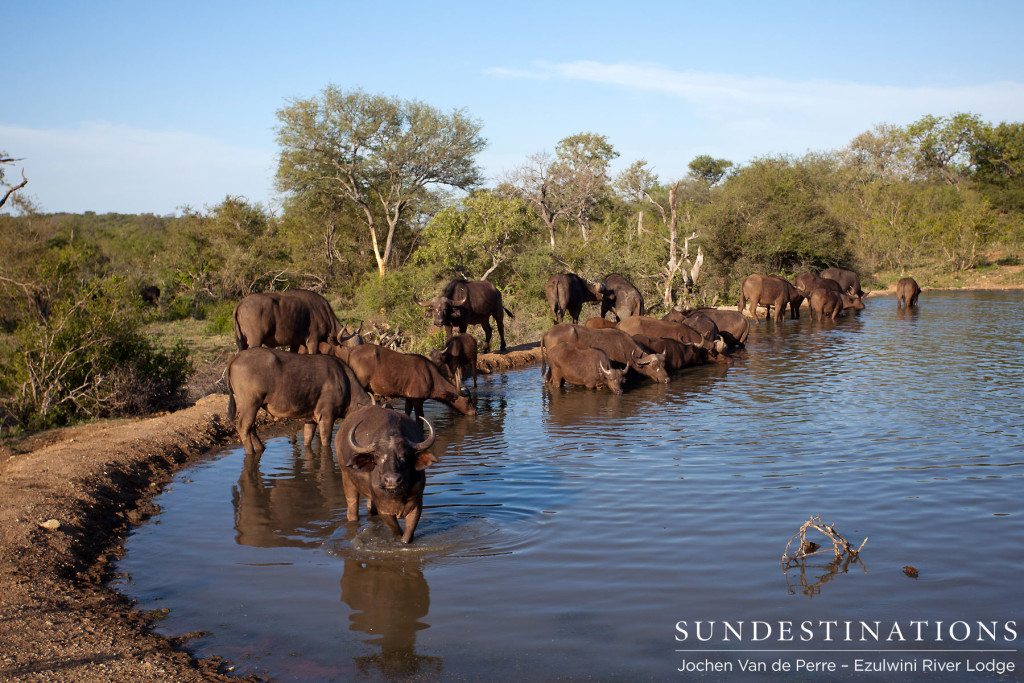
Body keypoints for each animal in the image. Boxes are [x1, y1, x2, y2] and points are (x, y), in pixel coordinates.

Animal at [226, 350, 370, 456]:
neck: (345, 383)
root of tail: (236, 357)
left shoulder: (310, 417)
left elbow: (308, 437)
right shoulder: (327, 416)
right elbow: (325, 440)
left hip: (252, 406)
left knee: (251, 427)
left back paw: (261, 448)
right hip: (250, 404)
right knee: (243, 427)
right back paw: (251, 452)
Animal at [337, 405, 438, 544]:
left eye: (404, 455)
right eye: (378, 457)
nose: (392, 480)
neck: (397, 495)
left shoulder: (416, 505)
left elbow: (407, 535)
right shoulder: (384, 510)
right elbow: (397, 531)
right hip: (346, 478)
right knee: (352, 510)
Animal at [342, 342, 473, 417]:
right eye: (468, 400)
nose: (474, 412)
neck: (431, 377)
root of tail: (352, 351)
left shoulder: (409, 398)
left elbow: (407, 413)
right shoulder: (417, 400)